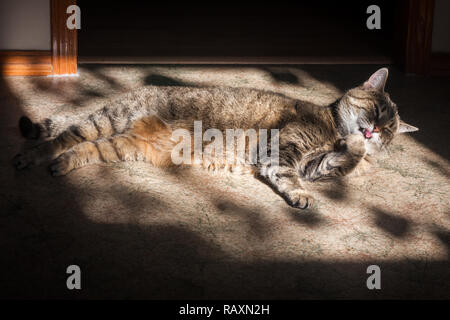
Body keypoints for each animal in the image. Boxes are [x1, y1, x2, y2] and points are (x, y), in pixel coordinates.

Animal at [11, 68, 418, 209]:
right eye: (378, 111)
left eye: (389, 131)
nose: (376, 131)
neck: (332, 128)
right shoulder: (282, 150)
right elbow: (290, 175)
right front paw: (302, 194)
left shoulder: (315, 164)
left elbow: (339, 162)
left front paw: (360, 150)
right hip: (106, 122)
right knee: (64, 135)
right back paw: (29, 157)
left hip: (118, 145)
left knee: (82, 147)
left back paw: (61, 165)